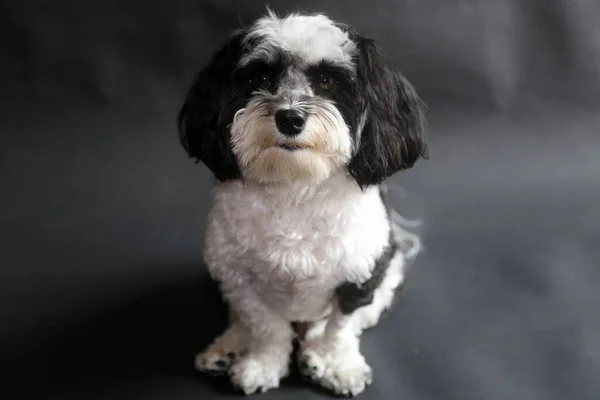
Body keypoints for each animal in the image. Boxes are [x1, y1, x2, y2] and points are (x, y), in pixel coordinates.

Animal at [177, 8, 426, 396]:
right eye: (261, 77)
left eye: (327, 81)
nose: (290, 117)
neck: (294, 186)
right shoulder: (236, 276)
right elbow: (265, 325)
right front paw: (262, 363)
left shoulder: (362, 273)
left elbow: (341, 327)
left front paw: (336, 364)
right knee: (240, 320)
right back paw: (227, 347)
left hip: (388, 278)